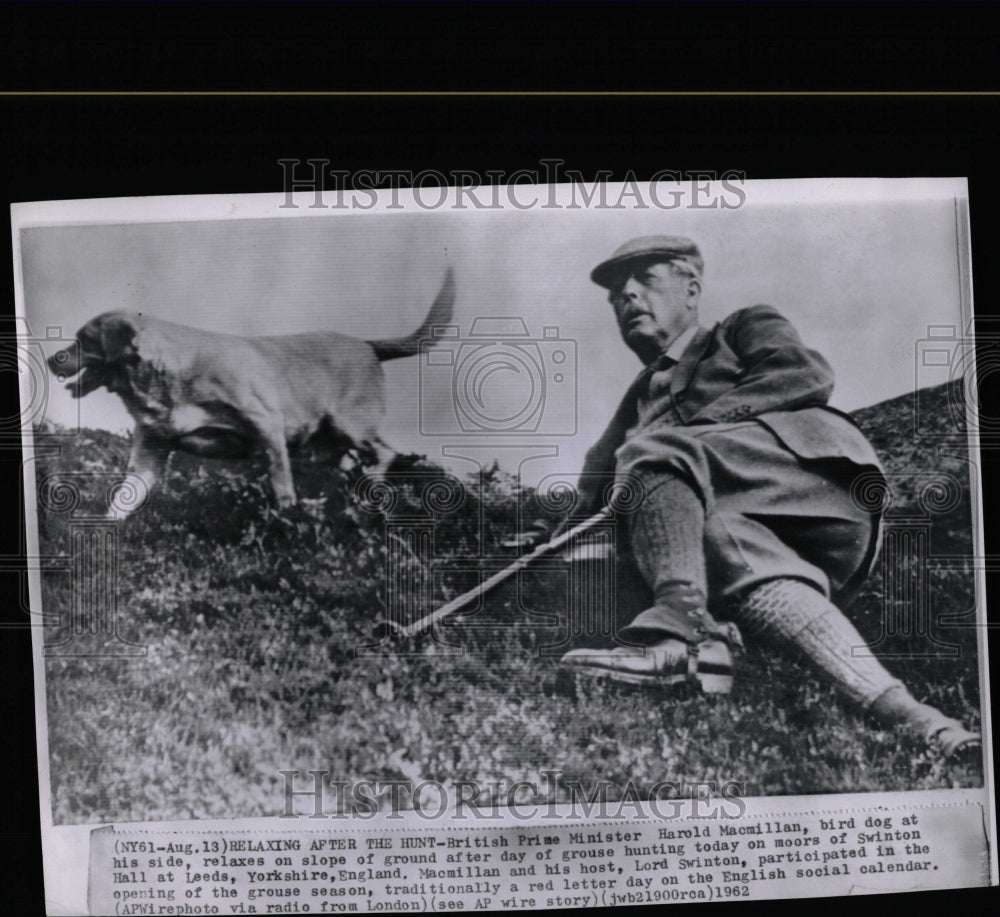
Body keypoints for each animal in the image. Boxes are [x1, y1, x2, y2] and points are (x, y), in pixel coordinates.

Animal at [47, 268, 454, 520]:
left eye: (84, 340)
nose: (52, 359)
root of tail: (367, 345)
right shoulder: (150, 451)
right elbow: (123, 498)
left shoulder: (267, 425)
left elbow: (281, 484)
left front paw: (286, 518)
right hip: (328, 446)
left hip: (348, 424)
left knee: (386, 453)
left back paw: (371, 492)